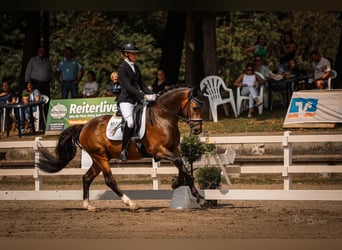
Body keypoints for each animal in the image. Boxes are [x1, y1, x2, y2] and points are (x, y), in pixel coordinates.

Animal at [38, 87, 206, 211]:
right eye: (195, 107)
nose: (197, 130)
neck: (163, 117)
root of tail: (84, 126)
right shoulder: (159, 150)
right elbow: (181, 164)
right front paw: (180, 186)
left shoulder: (173, 149)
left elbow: (183, 167)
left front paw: (195, 195)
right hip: (100, 157)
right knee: (109, 180)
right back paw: (131, 204)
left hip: (99, 159)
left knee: (86, 177)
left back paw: (88, 206)